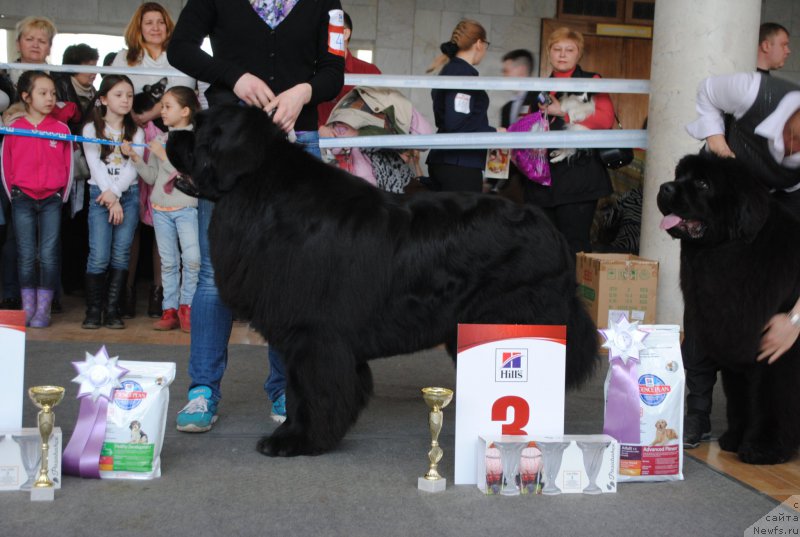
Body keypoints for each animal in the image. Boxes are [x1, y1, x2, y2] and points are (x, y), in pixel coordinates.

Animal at [169, 105, 596, 456]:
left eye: (201, 130)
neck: (263, 192)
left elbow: (310, 391)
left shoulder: (313, 335)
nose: (170, 133)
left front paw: (298, 440)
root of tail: (549, 229)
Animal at [660, 153, 796, 462]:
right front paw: (735, 438)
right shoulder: (731, 340)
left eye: (702, 183)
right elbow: (740, 398)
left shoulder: (778, 351)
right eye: (679, 175)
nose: (664, 187)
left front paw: (762, 448)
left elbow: (771, 398)